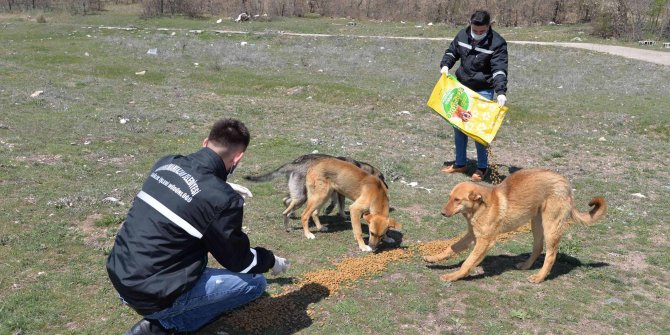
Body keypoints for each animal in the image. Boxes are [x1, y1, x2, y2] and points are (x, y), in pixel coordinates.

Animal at [426, 168, 608, 284]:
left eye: (457, 200)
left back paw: (539, 277)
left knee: (551, 255)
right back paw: (526, 266)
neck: (480, 207)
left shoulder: (485, 241)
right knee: (538, 248)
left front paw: (453, 276)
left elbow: (468, 262)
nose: (442, 213)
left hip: (551, 226)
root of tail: (565, 183)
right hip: (536, 224)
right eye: (449, 197)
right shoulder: (471, 235)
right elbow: (451, 248)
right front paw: (433, 258)